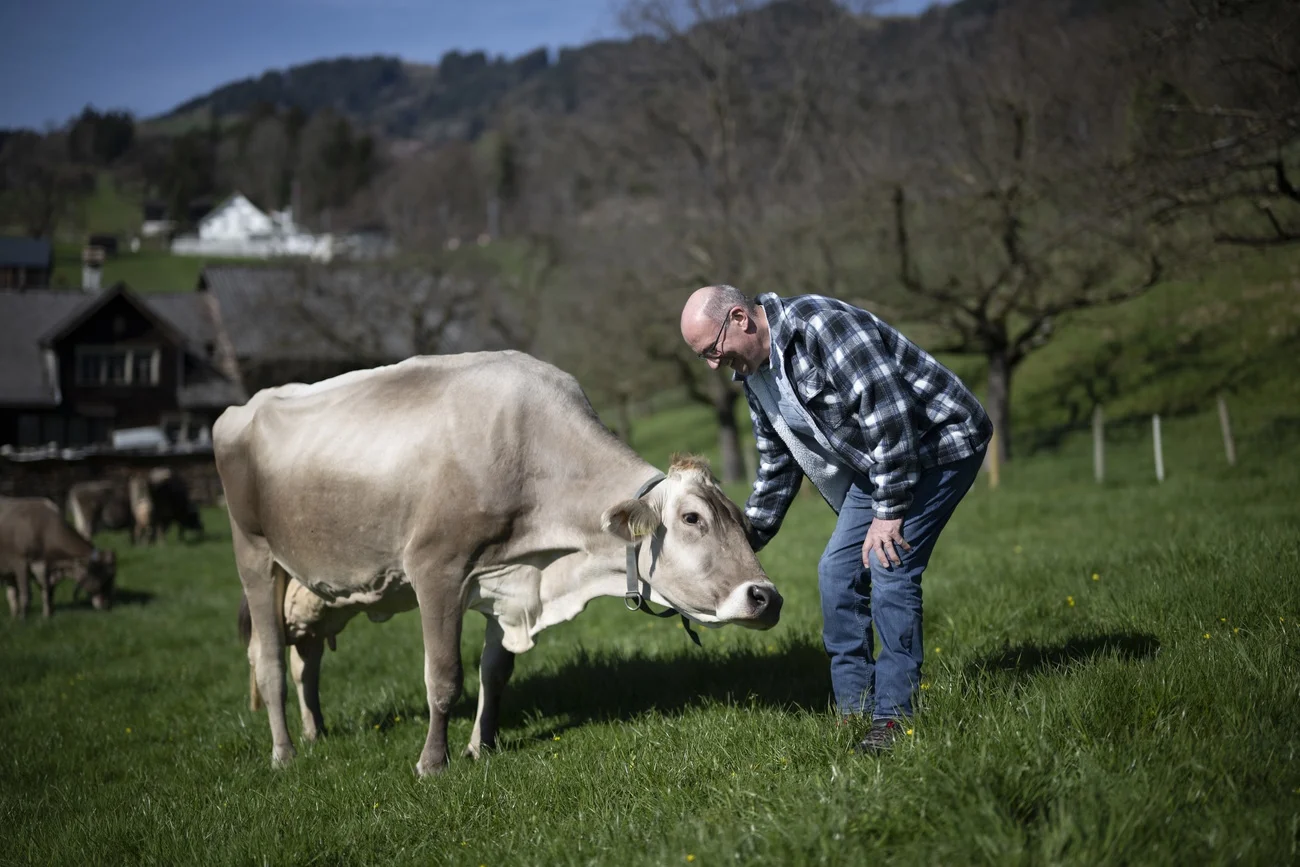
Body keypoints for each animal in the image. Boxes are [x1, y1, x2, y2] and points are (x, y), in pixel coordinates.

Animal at [215, 351, 783, 775]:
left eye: (742, 521)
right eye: (691, 518)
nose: (766, 597)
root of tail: (241, 409)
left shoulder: (508, 579)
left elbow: (496, 670)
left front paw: (480, 746)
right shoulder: (436, 570)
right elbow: (444, 677)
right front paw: (433, 762)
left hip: (309, 586)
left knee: (304, 658)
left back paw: (315, 733)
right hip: (254, 555)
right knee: (268, 661)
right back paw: (284, 753)